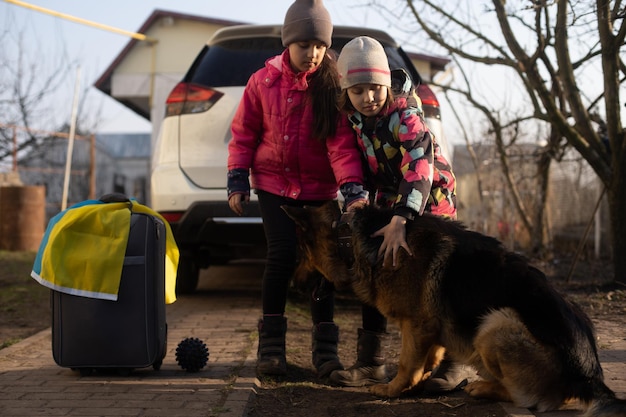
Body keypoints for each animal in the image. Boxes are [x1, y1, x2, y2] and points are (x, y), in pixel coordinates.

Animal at [282, 200, 624, 414]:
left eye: (301, 253)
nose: (293, 284)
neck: (353, 239)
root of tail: (588, 375)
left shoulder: (416, 326)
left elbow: (407, 363)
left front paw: (392, 390)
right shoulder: (429, 328)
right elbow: (429, 358)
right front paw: (418, 384)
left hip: (495, 324)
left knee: (526, 396)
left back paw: (483, 388)